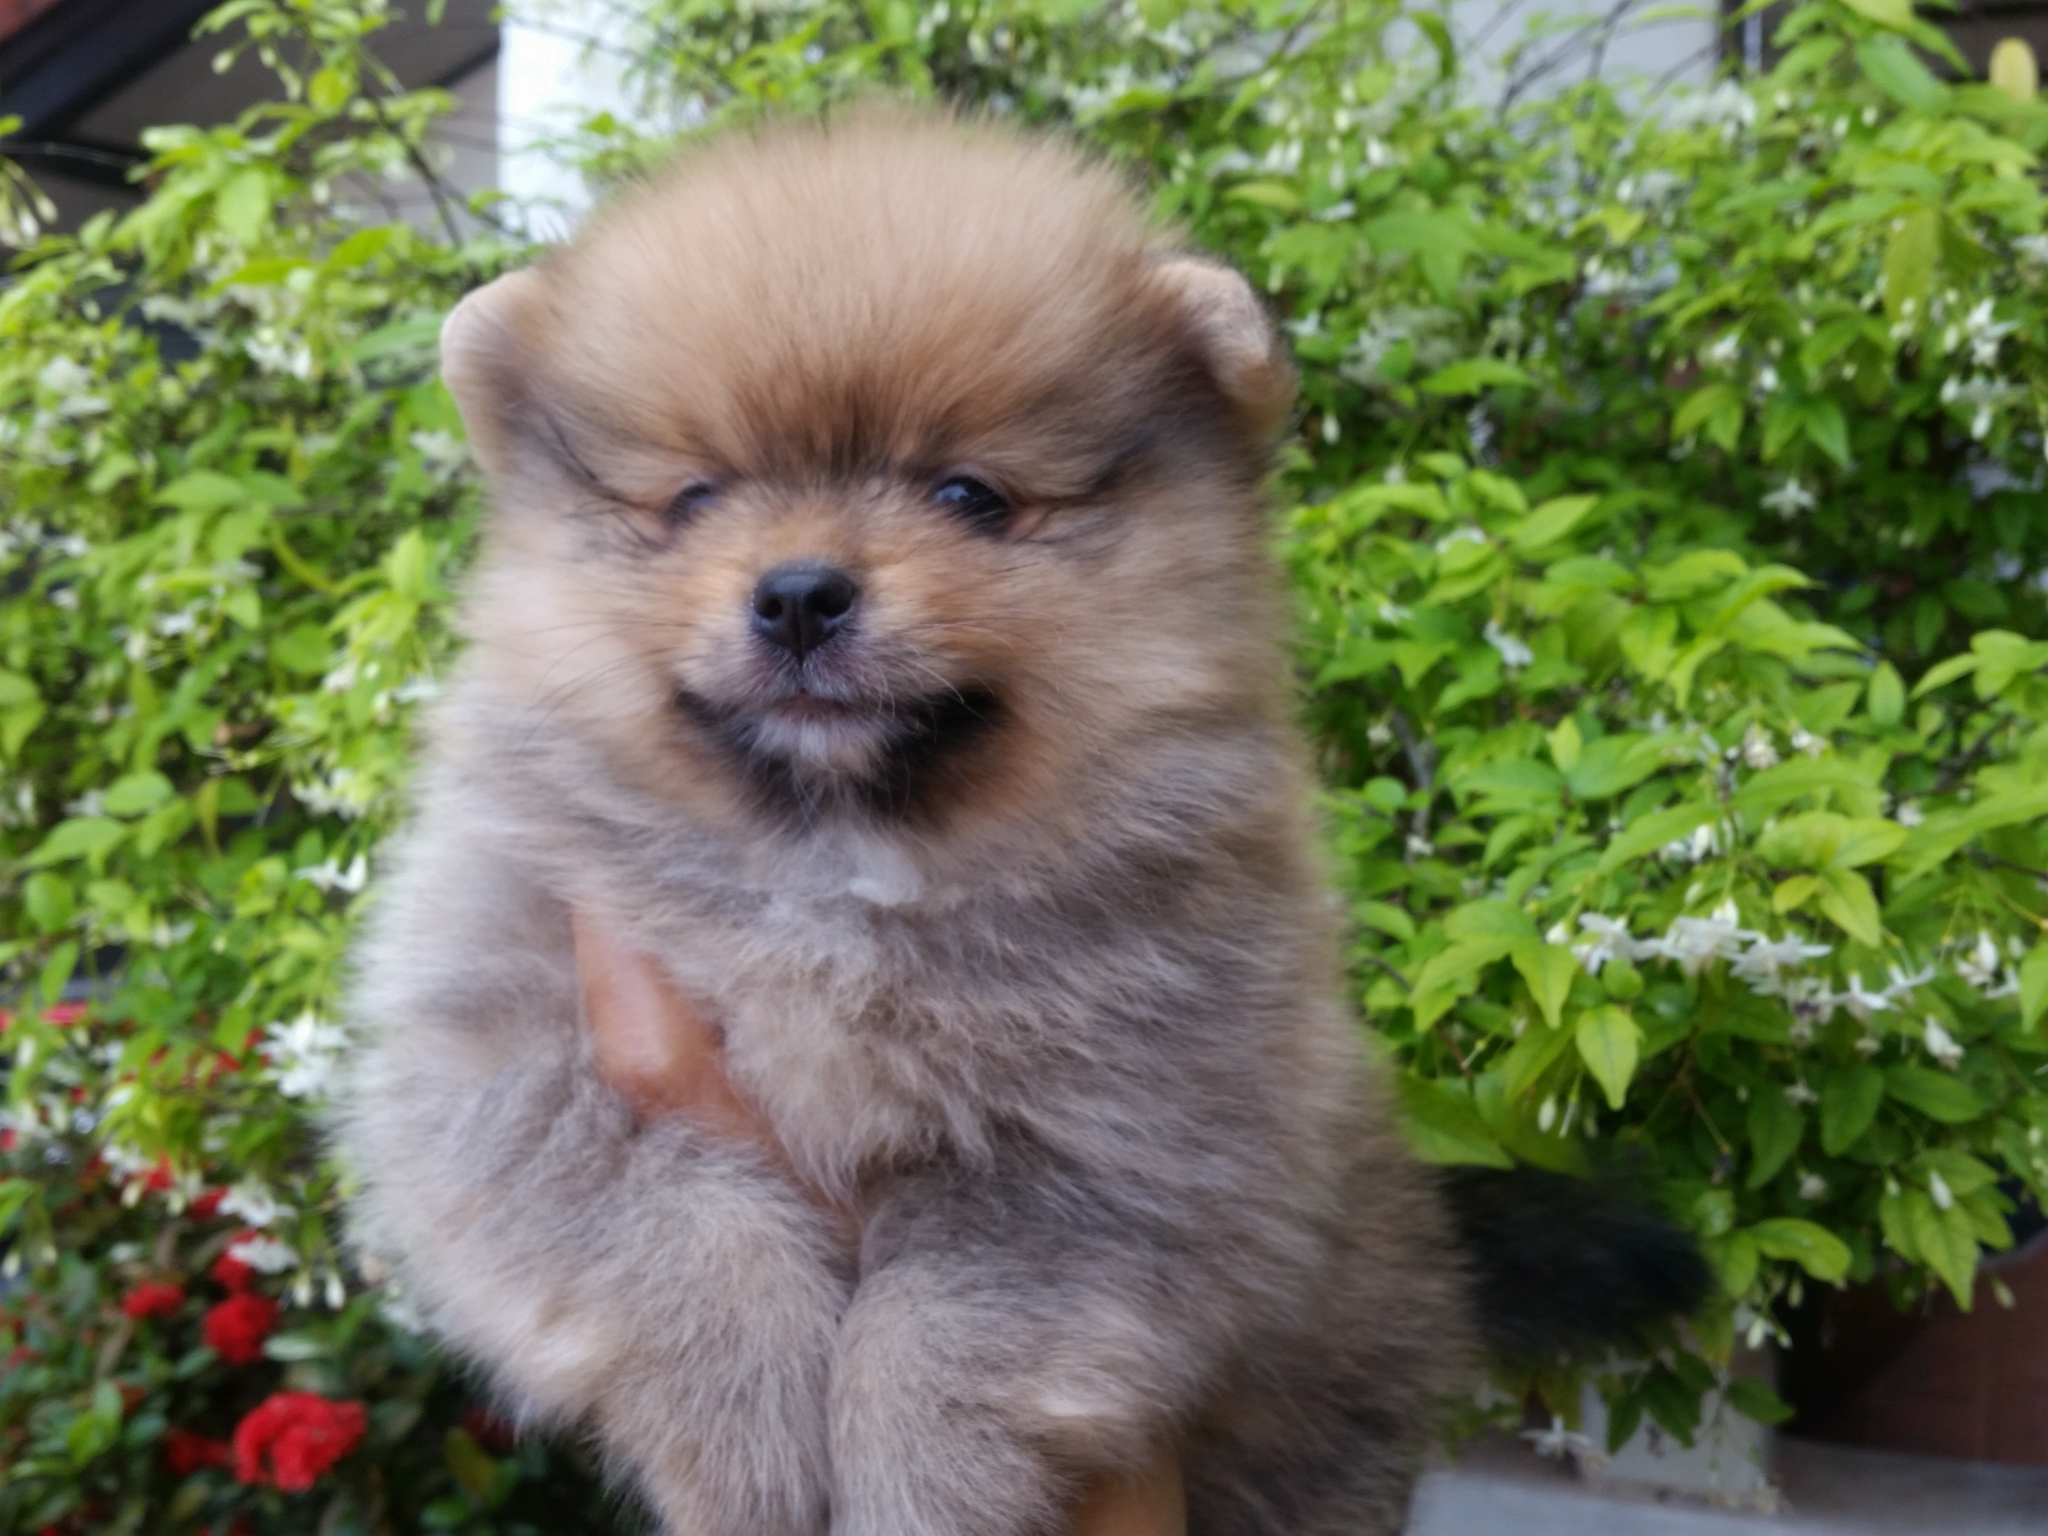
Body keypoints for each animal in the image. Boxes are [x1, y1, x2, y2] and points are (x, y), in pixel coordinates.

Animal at [339, 110, 1476, 1536]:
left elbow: (942, 1328)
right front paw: (747, 1437)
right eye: (696, 498)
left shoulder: (1129, 1128)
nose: (797, 592)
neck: (835, 864)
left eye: (969, 497)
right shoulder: (515, 1039)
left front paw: (912, 1486)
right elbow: (677, 1234)